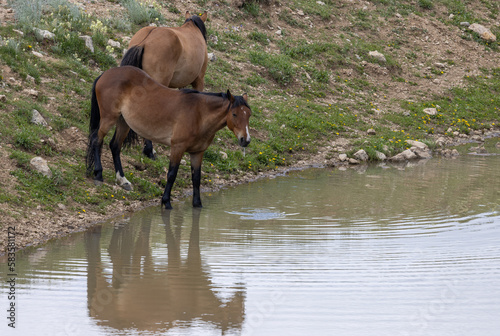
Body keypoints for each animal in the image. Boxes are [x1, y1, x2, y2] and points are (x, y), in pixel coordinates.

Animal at [86, 66, 252, 209]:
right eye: (234, 114)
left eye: (249, 115)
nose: (246, 139)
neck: (199, 115)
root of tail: (106, 74)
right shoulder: (177, 148)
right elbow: (172, 174)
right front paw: (166, 202)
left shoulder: (197, 153)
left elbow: (196, 178)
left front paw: (197, 204)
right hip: (109, 118)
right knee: (97, 140)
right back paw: (98, 174)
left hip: (123, 122)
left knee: (115, 146)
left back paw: (123, 180)